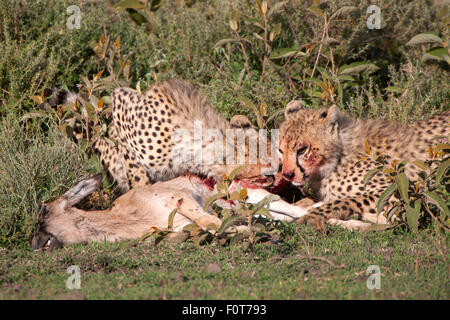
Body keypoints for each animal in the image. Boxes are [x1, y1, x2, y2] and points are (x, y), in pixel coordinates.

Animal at [280, 101, 448, 226]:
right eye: (281, 150)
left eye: (302, 150)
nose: (287, 175)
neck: (339, 157)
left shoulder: (403, 192)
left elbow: (345, 200)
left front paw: (310, 216)